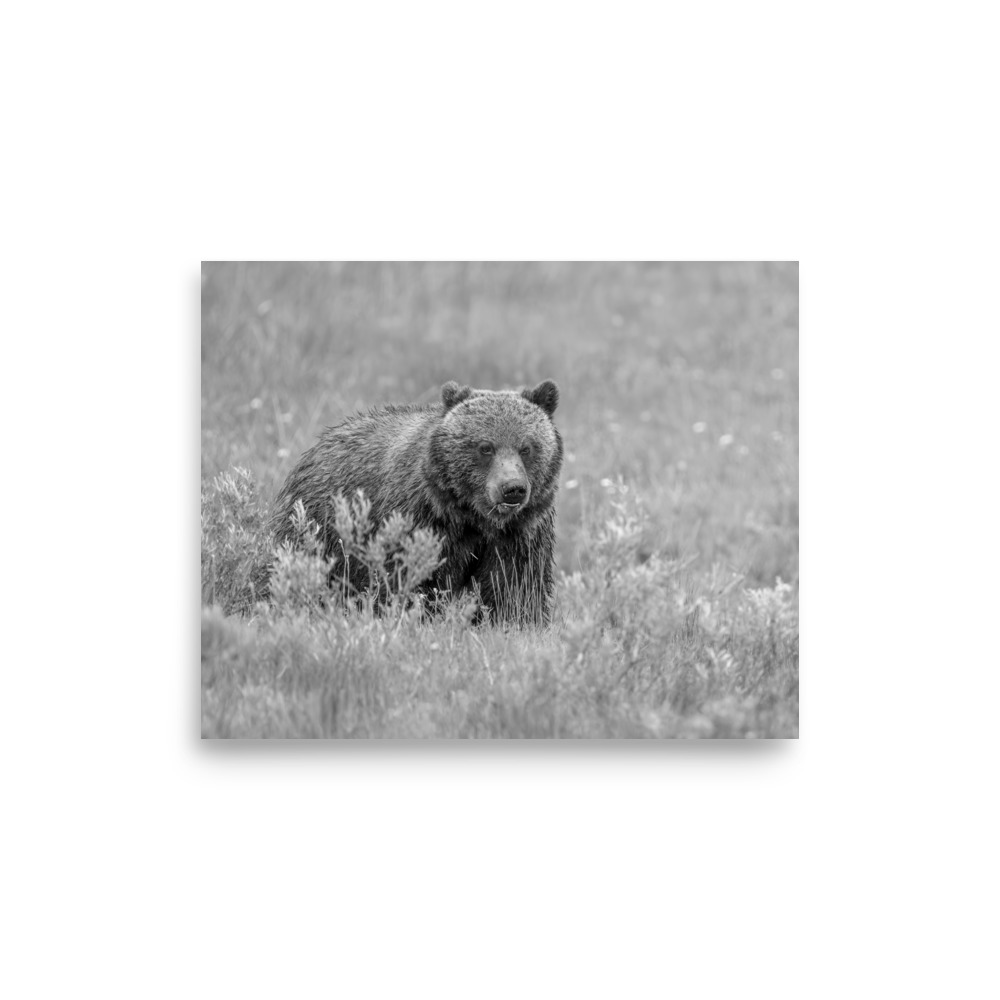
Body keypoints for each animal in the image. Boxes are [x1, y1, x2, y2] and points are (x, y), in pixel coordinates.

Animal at [269, 379, 563, 624]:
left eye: (526, 447)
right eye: (485, 447)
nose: (512, 489)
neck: (472, 516)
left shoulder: (520, 533)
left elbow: (514, 586)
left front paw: (516, 622)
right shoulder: (420, 519)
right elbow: (412, 577)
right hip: (319, 525)